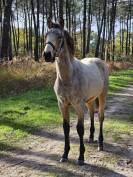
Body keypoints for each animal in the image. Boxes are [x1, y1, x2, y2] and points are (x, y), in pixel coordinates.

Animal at [43, 17, 108, 165]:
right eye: (46, 35)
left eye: (60, 37)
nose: (47, 55)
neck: (68, 77)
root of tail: (99, 61)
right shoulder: (62, 105)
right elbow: (66, 128)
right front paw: (65, 154)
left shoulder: (78, 105)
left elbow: (79, 128)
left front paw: (81, 157)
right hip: (90, 100)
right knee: (92, 114)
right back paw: (91, 137)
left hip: (102, 96)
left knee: (100, 117)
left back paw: (100, 144)